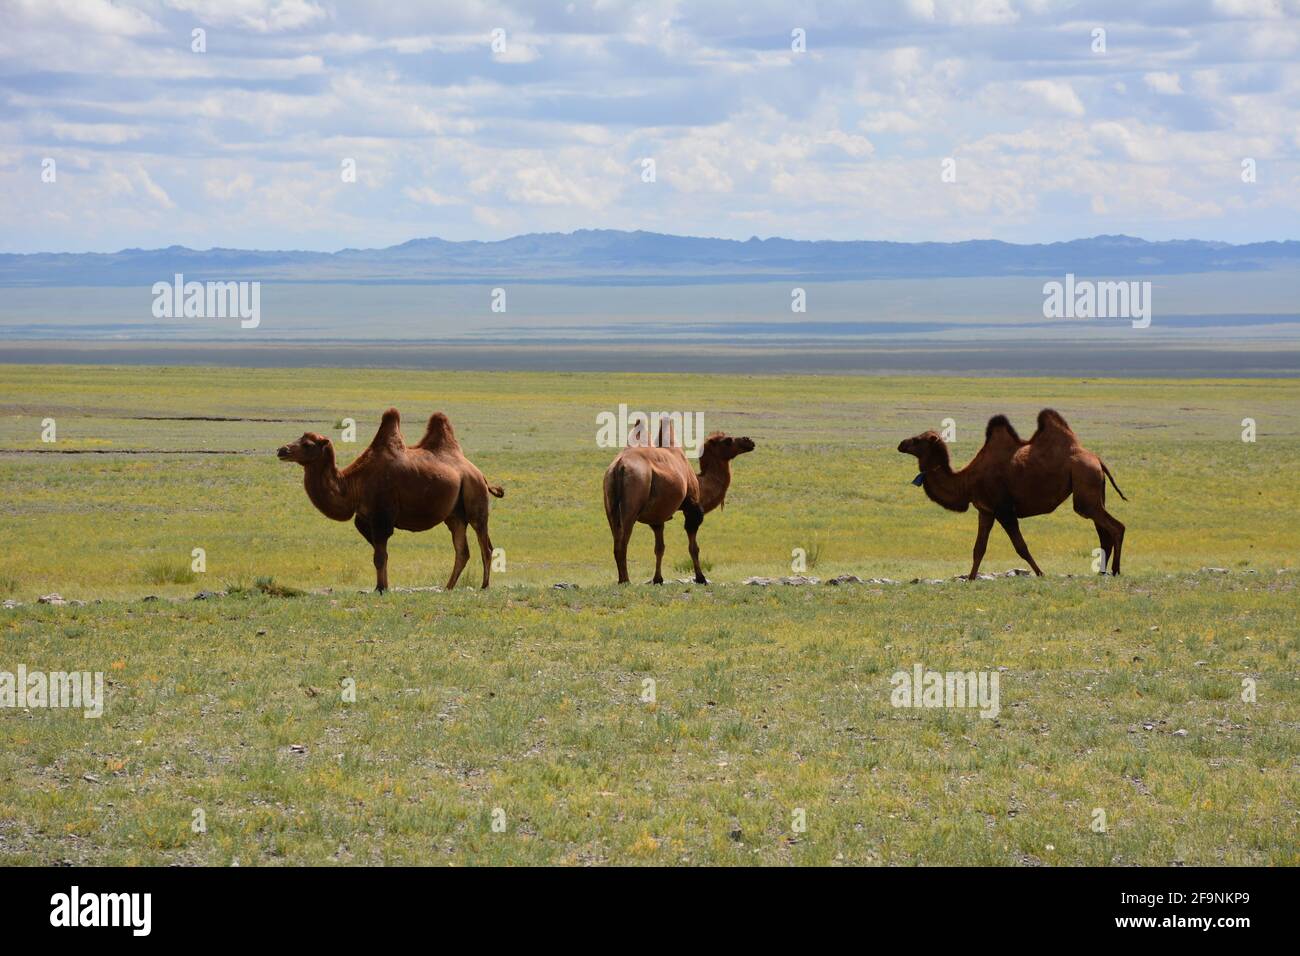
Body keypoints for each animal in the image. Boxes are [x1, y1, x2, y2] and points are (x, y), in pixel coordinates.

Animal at [276, 408, 504, 590]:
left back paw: (484, 585)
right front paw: (383, 586)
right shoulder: (364, 520)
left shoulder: (382, 516)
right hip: (455, 514)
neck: (354, 484)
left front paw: (380, 588)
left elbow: (379, 557)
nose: (281, 450)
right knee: (462, 550)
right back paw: (448, 587)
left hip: (475, 497)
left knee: (485, 545)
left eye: (307, 444)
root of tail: (481, 475)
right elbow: (382, 555)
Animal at [603, 424, 759, 587]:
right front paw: (701, 578)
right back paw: (626, 580)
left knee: (616, 540)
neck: (700, 483)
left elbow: (659, 548)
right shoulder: (692, 508)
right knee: (623, 542)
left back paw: (621, 579)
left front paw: (658, 579)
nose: (749, 441)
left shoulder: (658, 515)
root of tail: (619, 466)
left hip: (610, 503)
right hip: (632, 501)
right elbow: (694, 547)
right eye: (728, 440)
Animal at [894, 408, 1128, 574]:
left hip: (1085, 487)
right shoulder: (985, 511)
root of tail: (1097, 459)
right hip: (1093, 490)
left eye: (918, 440)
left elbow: (1021, 546)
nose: (901, 443)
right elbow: (978, 548)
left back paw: (1115, 570)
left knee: (1116, 527)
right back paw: (1102, 572)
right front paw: (970, 579)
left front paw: (1041, 573)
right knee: (1103, 531)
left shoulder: (1004, 509)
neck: (966, 480)